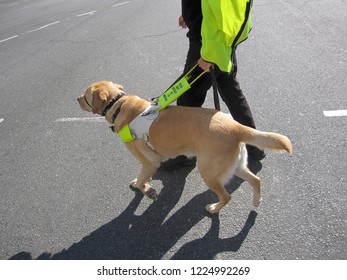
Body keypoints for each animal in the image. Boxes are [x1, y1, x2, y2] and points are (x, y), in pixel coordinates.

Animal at [77, 80, 292, 213]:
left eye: (85, 95)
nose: (76, 99)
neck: (118, 104)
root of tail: (236, 126)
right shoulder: (150, 164)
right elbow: (142, 178)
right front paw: (144, 185)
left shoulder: (150, 162)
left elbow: (142, 180)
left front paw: (147, 190)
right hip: (235, 165)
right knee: (256, 180)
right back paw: (256, 201)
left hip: (208, 171)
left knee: (226, 196)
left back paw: (214, 208)